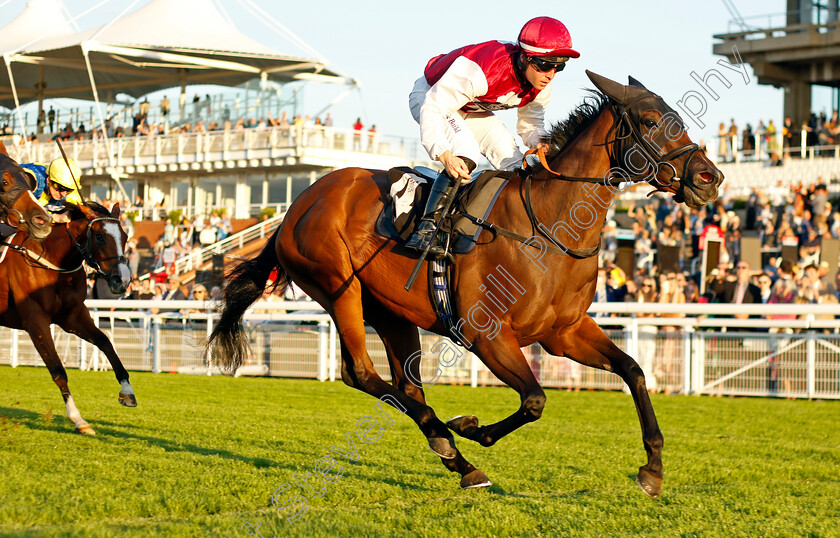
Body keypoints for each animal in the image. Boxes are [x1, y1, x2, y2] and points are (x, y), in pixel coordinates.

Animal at [0, 200, 135, 432]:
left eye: (125, 236)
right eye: (100, 237)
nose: (122, 280)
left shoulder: (73, 316)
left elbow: (105, 342)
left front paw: (127, 391)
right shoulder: (35, 321)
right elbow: (57, 370)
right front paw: (78, 419)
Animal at [208, 72, 720, 498]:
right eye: (651, 121)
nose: (710, 178)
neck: (548, 228)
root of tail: (296, 205)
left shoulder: (565, 332)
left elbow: (634, 371)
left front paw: (652, 469)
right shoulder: (487, 335)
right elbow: (535, 399)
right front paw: (473, 426)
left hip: (390, 311)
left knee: (404, 386)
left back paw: (456, 457)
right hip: (338, 288)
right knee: (361, 374)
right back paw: (449, 440)